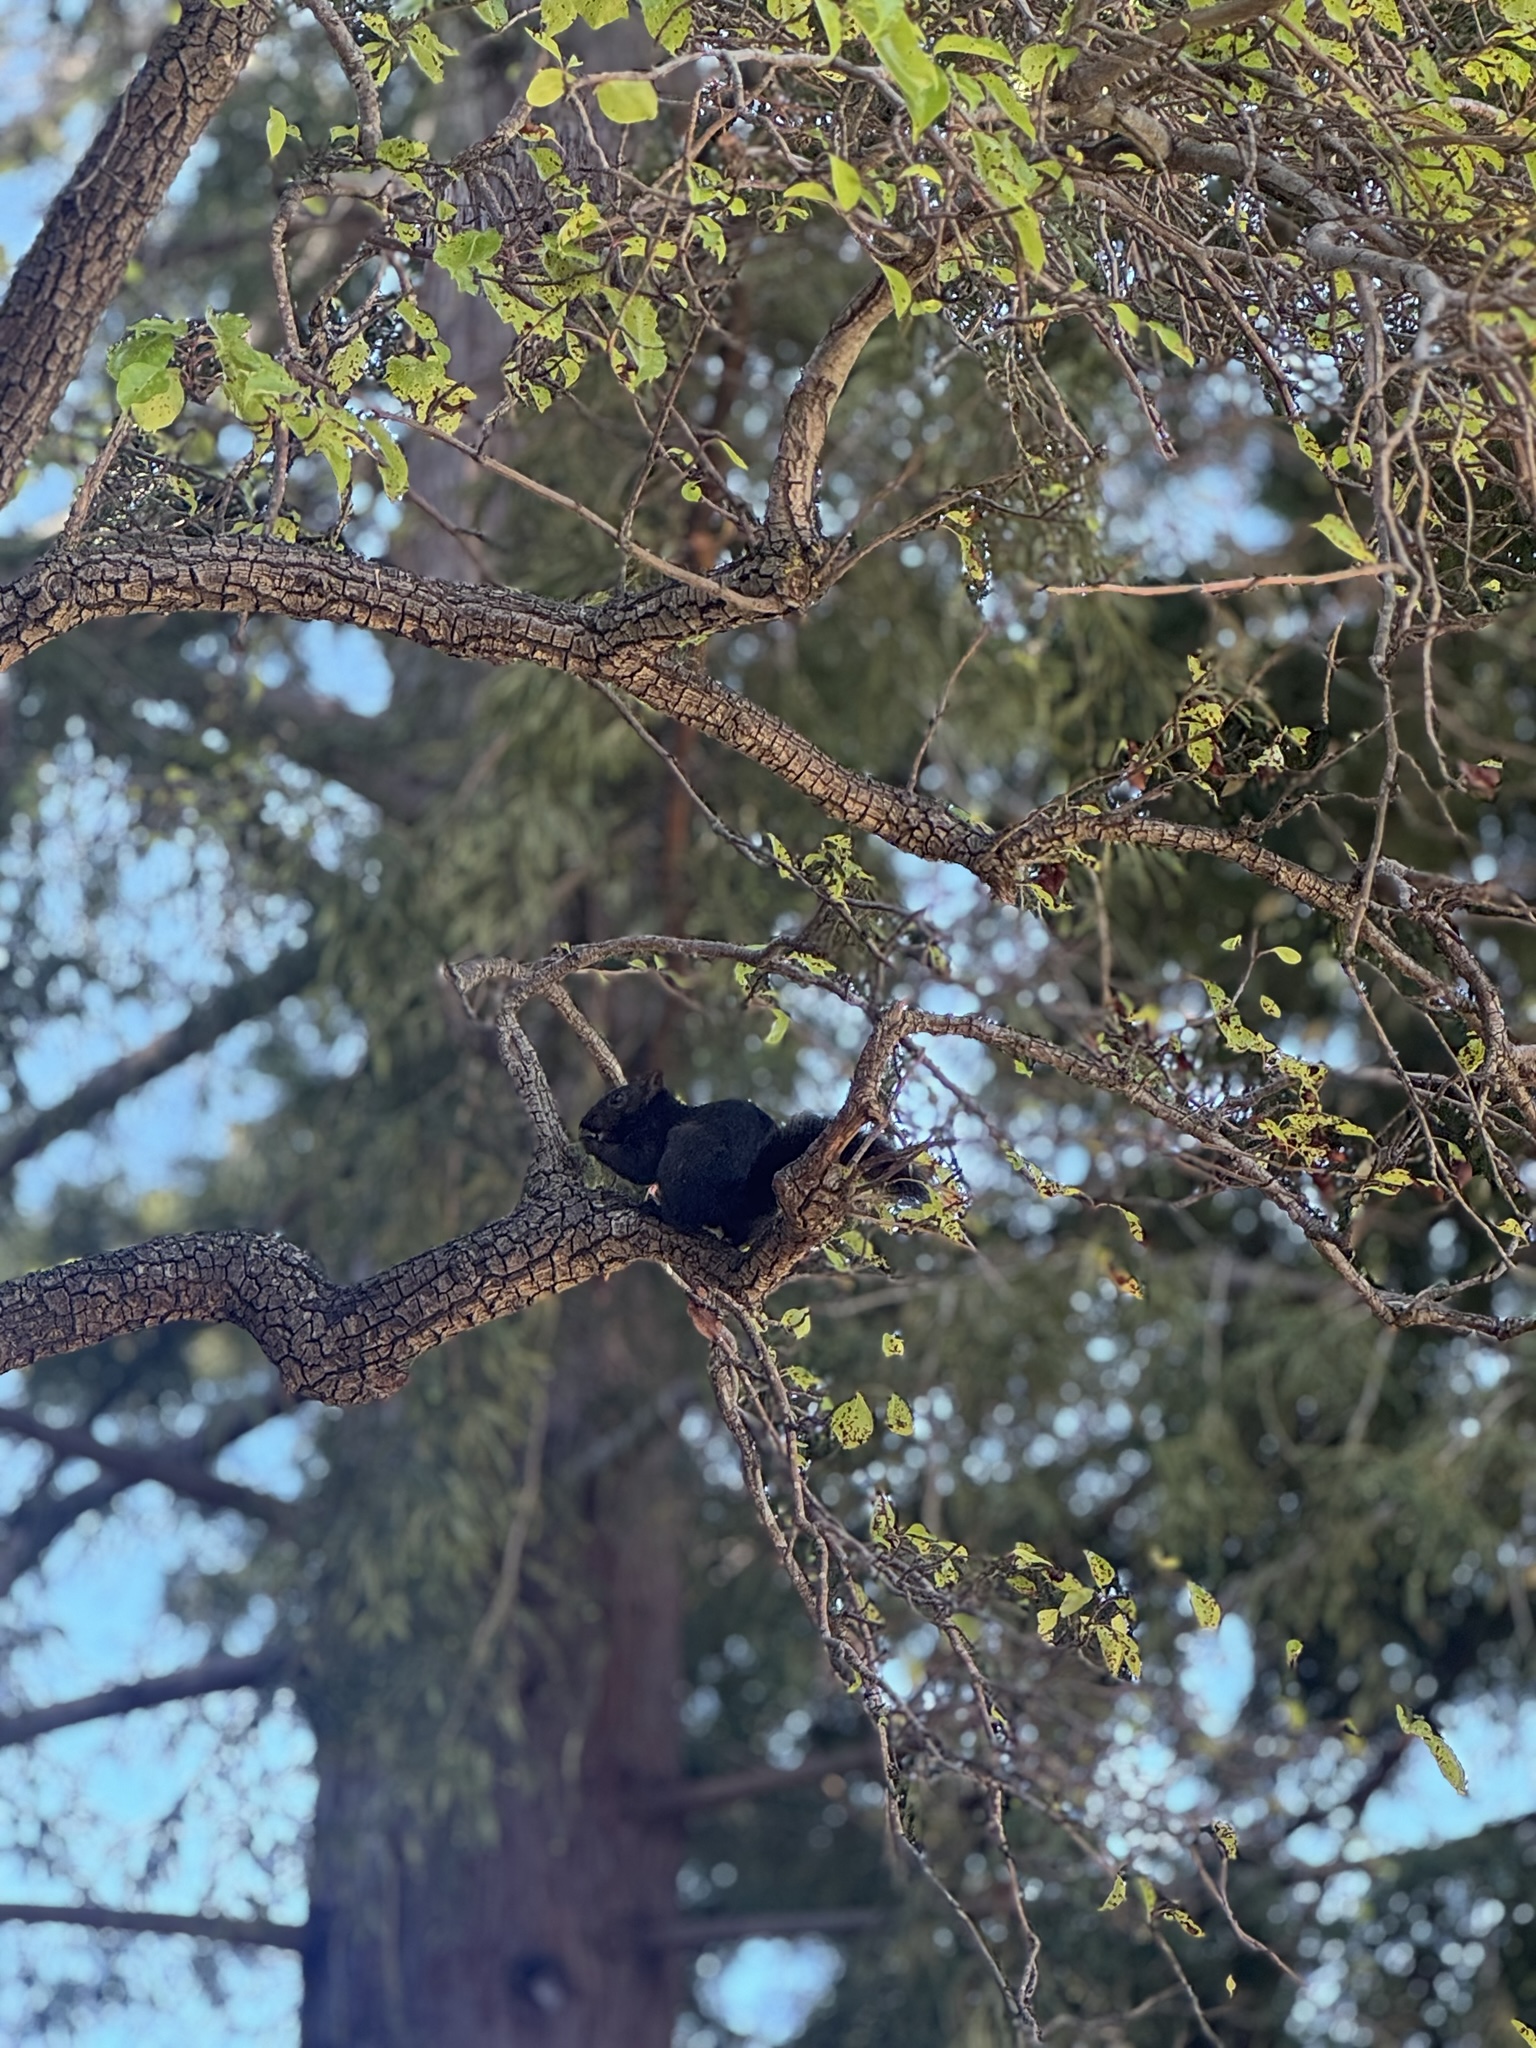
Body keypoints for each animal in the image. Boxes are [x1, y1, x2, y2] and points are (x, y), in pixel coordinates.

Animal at [578, 1073, 926, 1242]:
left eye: (617, 1098)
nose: (585, 1121)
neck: (658, 1110)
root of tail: (736, 1197)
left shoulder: (655, 1133)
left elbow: (639, 1165)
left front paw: (591, 1143)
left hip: (683, 1152)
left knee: (684, 1219)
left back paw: (657, 1210)